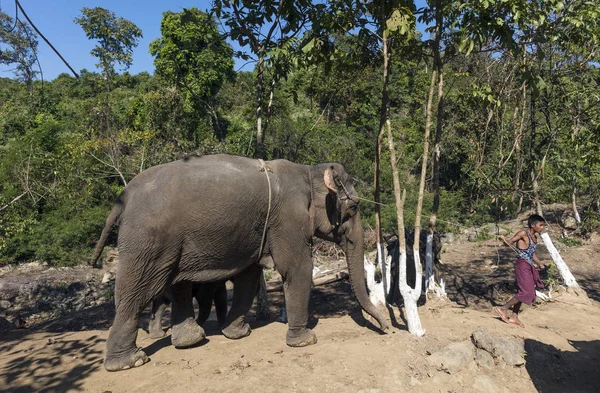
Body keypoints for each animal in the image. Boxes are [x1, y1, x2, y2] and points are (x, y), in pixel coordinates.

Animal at [91, 153, 386, 370]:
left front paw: (238, 333)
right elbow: (296, 269)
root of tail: (122, 199)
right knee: (137, 293)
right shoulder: (288, 219)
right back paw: (131, 361)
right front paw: (305, 341)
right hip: (148, 241)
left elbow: (249, 276)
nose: (385, 329)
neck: (307, 170)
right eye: (354, 207)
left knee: (177, 285)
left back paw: (190, 341)